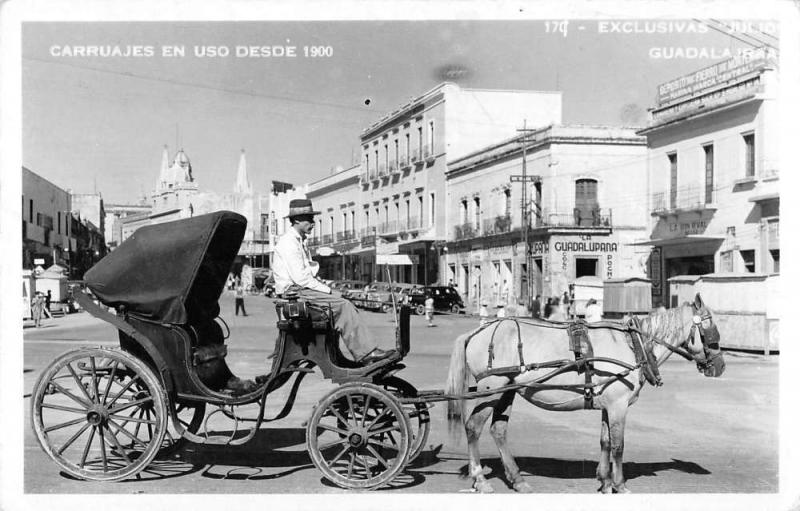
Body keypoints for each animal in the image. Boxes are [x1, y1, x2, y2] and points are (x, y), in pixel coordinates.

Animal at [444, 294, 724, 494]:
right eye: (711, 331)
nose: (720, 366)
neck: (634, 345)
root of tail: (478, 332)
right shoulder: (618, 406)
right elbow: (619, 445)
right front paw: (620, 484)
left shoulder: (607, 405)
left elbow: (605, 441)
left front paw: (605, 481)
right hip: (490, 390)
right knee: (473, 427)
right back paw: (480, 479)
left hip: (507, 391)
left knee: (498, 431)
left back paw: (517, 479)